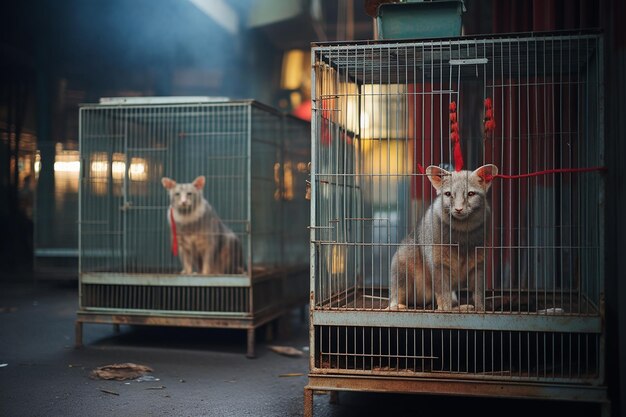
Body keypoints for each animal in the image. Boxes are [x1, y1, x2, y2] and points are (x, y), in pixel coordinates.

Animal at [390, 164, 498, 310]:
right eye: (448, 194)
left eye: (470, 194)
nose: (458, 209)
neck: (461, 237)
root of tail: (423, 300)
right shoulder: (438, 264)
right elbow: (443, 298)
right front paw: (445, 311)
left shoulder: (479, 264)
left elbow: (479, 294)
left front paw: (480, 310)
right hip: (403, 266)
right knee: (394, 299)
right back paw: (399, 306)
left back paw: (462, 307)